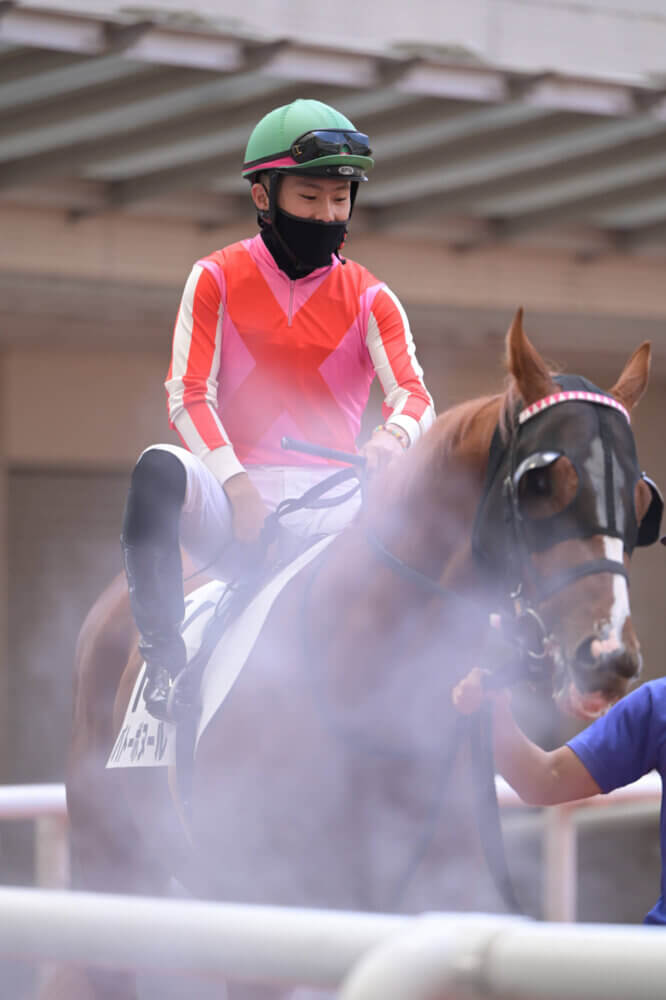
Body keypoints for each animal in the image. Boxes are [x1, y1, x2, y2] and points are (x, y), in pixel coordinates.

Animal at [45, 314, 652, 1000]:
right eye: (542, 484)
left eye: (640, 502)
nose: (608, 654)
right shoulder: (264, 930)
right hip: (111, 867)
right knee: (161, 468)